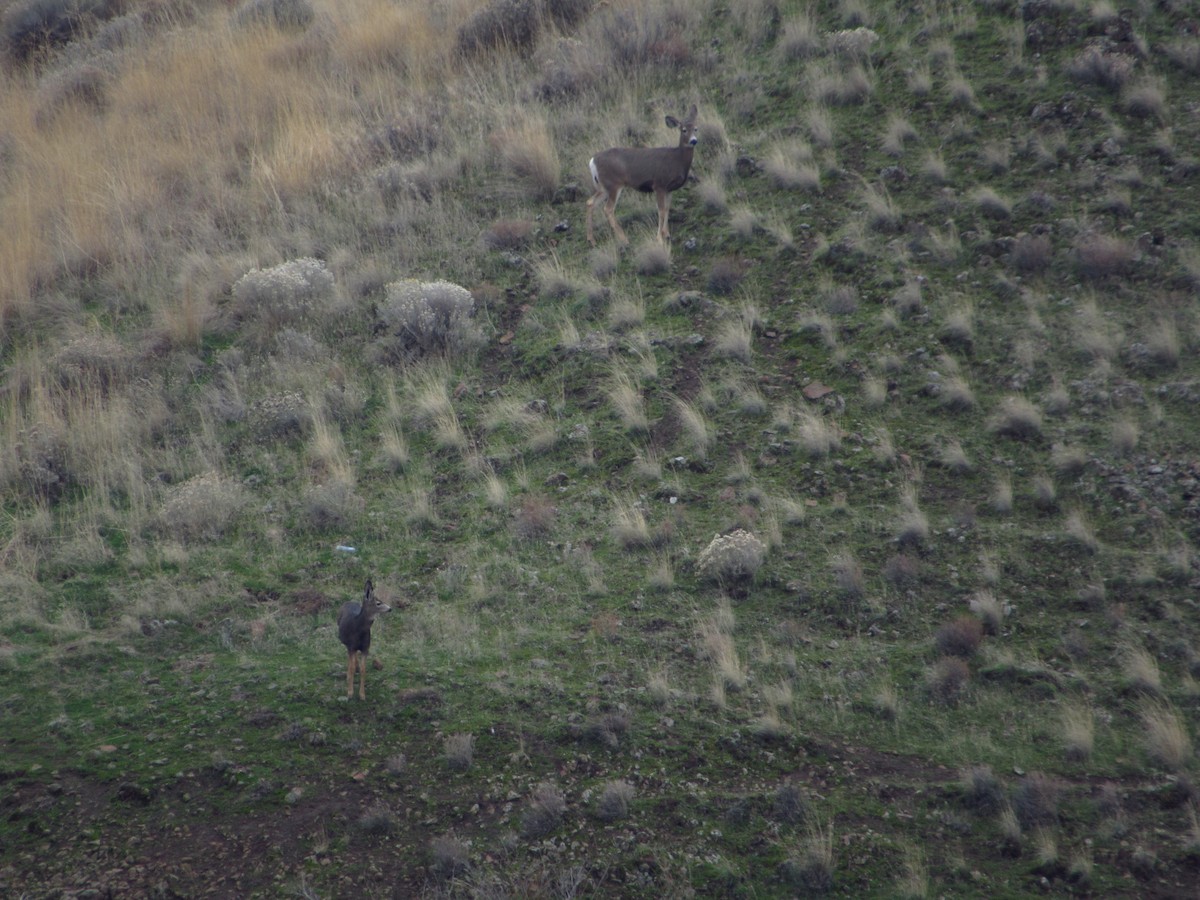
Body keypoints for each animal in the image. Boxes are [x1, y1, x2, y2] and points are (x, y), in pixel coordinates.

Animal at [586, 104, 699, 247]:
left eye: (696, 128)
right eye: (683, 130)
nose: (694, 141)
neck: (677, 160)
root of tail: (592, 161)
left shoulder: (669, 189)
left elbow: (667, 208)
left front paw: (666, 234)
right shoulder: (659, 184)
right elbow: (661, 210)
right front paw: (659, 238)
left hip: (603, 186)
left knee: (590, 202)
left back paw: (591, 240)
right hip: (614, 184)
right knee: (608, 209)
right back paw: (624, 239)